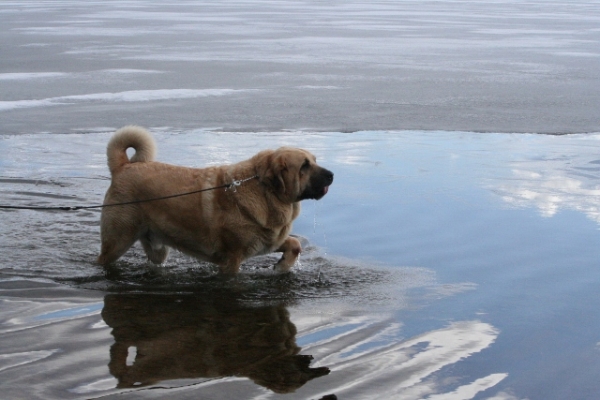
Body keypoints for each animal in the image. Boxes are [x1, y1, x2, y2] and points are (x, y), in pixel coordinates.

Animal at [98, 126, 332, 276]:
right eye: (304, 166)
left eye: (314, 160)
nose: (332, 175)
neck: (265, 191)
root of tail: (123, 166)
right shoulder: (232, 260)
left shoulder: (267, 241)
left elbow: (295, 245)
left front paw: (282, 266)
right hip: (118, 240)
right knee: (103, 259)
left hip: (156, 247)